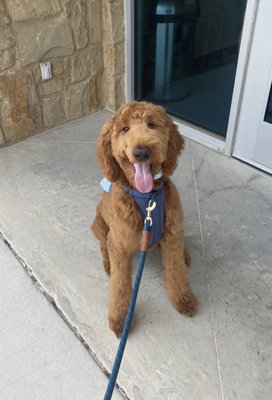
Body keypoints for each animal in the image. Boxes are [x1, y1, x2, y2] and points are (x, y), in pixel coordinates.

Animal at [92, 101, 198, 336]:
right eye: (124, 129)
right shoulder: (119, 244)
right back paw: (107, 264)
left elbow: (176, 271)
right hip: (99, 226)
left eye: (152, 125)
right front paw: (120, 319)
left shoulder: (172, 234)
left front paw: (183, 300)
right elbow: (120, 286)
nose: (141, 152)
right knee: (103, 245)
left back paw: (185, 254)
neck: (147, 197)